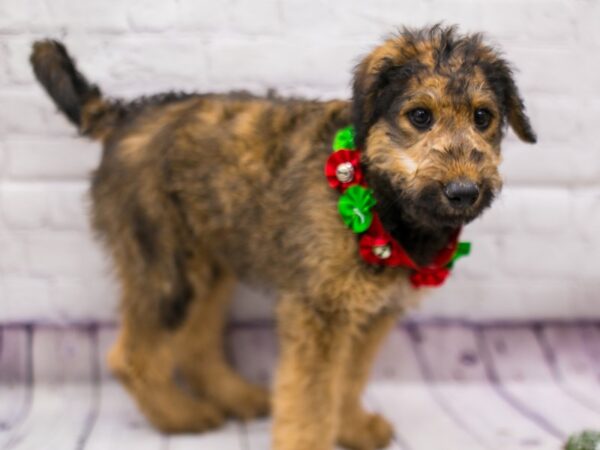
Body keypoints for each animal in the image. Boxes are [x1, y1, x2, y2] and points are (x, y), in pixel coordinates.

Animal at [29, 24, 536, 450]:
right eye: (420, 116)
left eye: (483, 117)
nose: (463, 191)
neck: (379, 199)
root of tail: (121, 115)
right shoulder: (319, 312)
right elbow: (310, 399)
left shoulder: (369, 313)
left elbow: (347, 380)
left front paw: (351, 428)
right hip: (167, 267)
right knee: (131, 356)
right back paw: (180, 417)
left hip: (208, 263)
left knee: (195, 344)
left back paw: (234, 397)